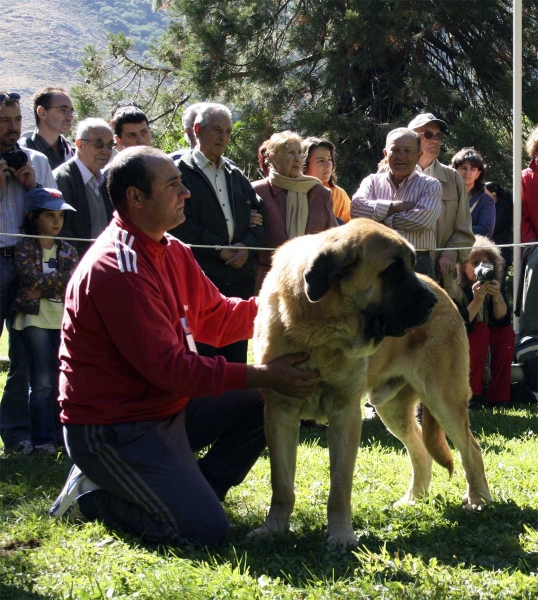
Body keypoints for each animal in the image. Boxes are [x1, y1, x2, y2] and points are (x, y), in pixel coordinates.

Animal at [249, 218, 438, 548]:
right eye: (393, 269)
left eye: (412, 265)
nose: (431, 302)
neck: (321, 329)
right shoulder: (280, 413)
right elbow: (281, 482)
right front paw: (272, 528)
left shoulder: (346, 415)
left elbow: (340, 487)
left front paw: (341, 535)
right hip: (393, 410)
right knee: (421, 451)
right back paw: (413, 500)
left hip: (444, 397)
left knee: (471, 449)